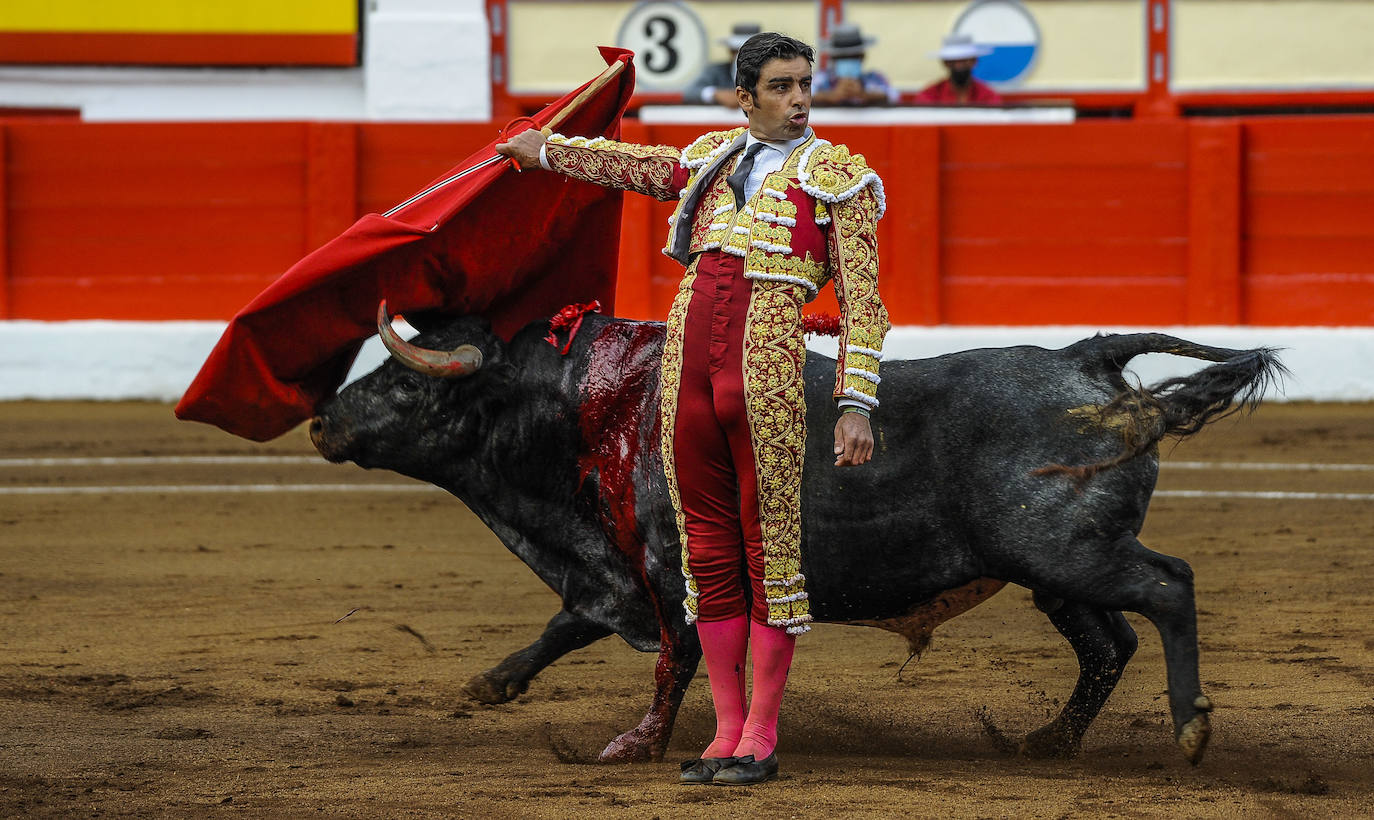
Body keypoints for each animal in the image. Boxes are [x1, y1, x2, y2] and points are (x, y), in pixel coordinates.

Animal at [309, 310, 1275, 763]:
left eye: (406, 380)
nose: (321, 421)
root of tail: (1087, 359)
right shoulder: (618, 567)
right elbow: (569, 623)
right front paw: (490, 685)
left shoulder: (667, 567)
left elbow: (676, 658)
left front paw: (643, 746)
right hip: (1052, 569)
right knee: (1108, 644)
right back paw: (1049, 742)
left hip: (1064, 551)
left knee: (1168, 588)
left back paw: (1189, 727)